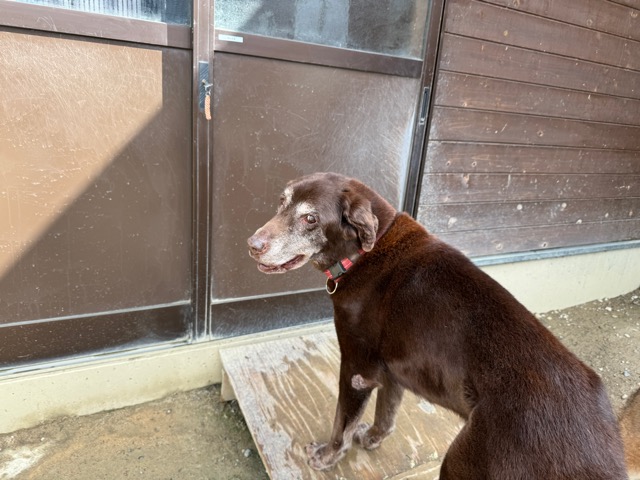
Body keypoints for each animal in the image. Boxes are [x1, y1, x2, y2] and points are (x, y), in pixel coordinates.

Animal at [248, 172, 631, 479]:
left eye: (310, 218)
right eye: (281, 202)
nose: (252, 246)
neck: (365, 252)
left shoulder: (357, 370)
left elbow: (342, 423)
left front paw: (327, 456)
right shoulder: (392, 372)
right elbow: (386, 415)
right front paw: (371, 438)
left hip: (460, 461)